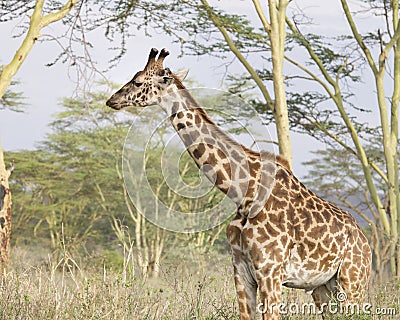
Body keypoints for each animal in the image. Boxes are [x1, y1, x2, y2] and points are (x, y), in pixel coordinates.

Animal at [106, 48, 372, 320]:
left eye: (138, 82)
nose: (112, 100)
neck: (244, 194)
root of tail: (365, 240)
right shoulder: (241, 270)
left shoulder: (270, 271)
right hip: (323, 287)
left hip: (353, 281)